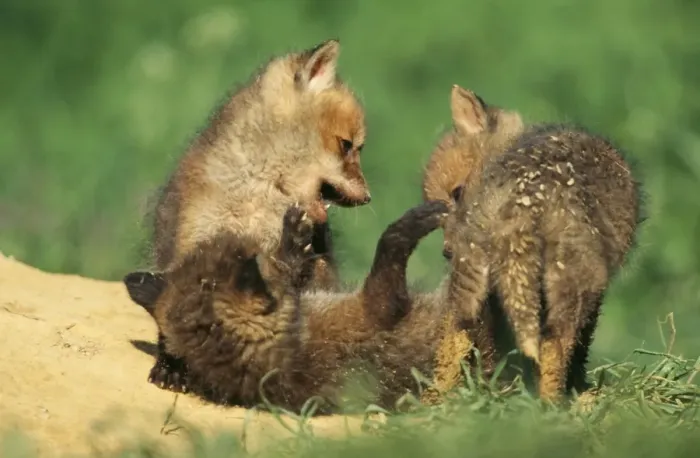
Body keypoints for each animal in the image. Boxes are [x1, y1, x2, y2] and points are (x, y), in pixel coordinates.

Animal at [142, 39, 372, 390]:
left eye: (356, 147)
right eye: (346, 145)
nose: (369, 197)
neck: (257, 200)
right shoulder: (190, 245)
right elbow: (172, 310)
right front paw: (171, 366)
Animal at [432, 84, 643, 402]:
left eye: (456, 193)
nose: (446, 252)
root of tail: (521, 198)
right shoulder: (595, 288)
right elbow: (581, 346)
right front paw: (580, 389)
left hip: (472, 287)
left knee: (454, 341)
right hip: (570, 280)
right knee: (554, 344)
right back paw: (552, 404)